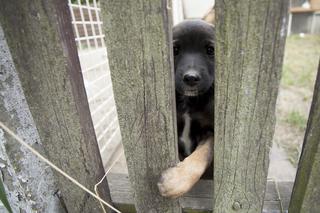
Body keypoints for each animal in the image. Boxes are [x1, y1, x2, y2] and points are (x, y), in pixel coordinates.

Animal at [158, 20, 215, 198]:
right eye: (175, 50)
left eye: (210, 50)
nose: (191, 78)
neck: (190, 102)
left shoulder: (211, 131)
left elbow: (203, 154)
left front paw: (175, 182)